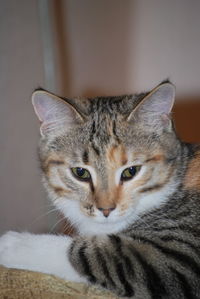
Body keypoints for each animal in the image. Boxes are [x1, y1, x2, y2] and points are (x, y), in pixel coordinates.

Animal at [0, 81, 200, 298]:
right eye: (80, 172)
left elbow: (96, 255)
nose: (106, 209)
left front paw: (13, 244)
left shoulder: (180, 257)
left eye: (131, 171)